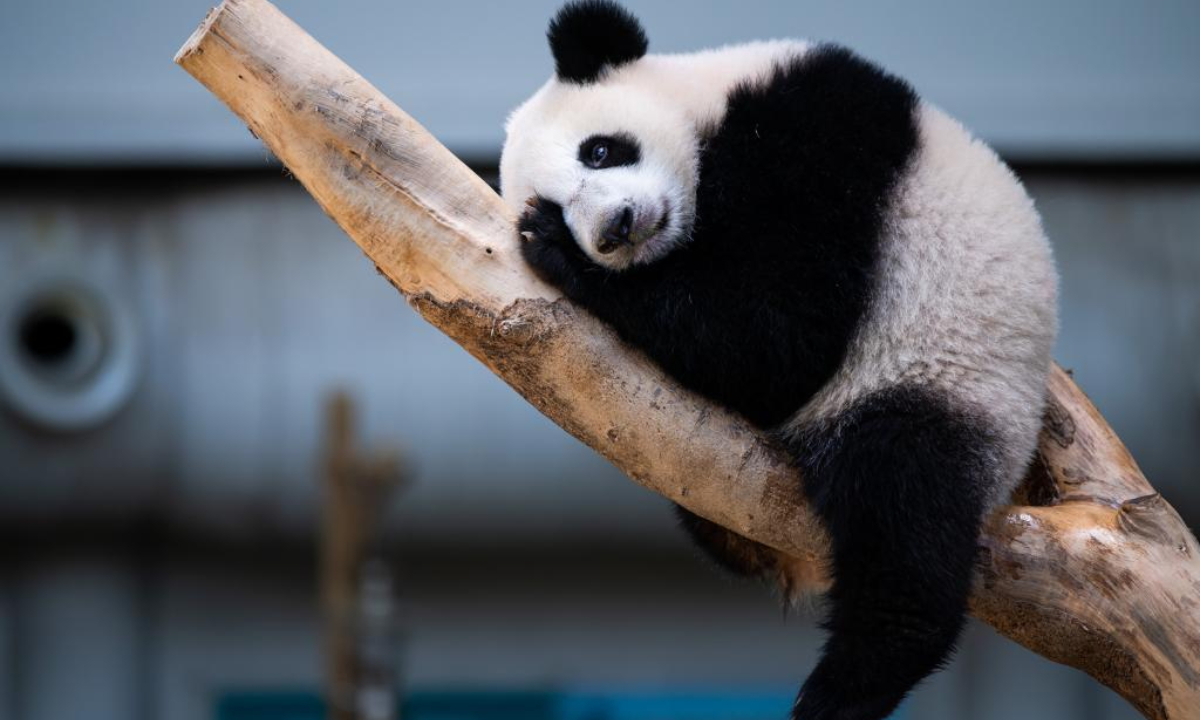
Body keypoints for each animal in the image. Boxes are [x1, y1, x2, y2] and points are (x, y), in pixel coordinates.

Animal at [496, 2, 1060, 715]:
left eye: (598, 150)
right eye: (559, 204)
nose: (614, 230)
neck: (708, 102)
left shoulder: (818, 129)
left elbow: (776, 338)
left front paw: (561, 256)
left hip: (942, 377)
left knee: (903, 504)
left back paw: (849, 683)